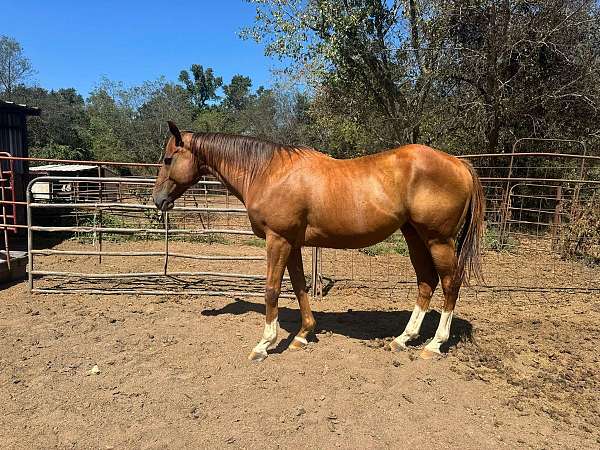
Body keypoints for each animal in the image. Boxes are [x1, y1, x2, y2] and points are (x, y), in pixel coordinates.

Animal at [152, 121, 486, 360]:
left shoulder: (277, 240)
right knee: (426, 281)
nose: (157, 201)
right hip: (414, 236)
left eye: (168, 159)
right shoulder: (293, 243)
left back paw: (434, 344)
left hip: (439, 240)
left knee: (450, 284)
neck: (268, 172)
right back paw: (404, 339)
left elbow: (272, 290)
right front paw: (303, 335)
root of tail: (459, 163)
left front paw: (265, 344)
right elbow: (299, 287)